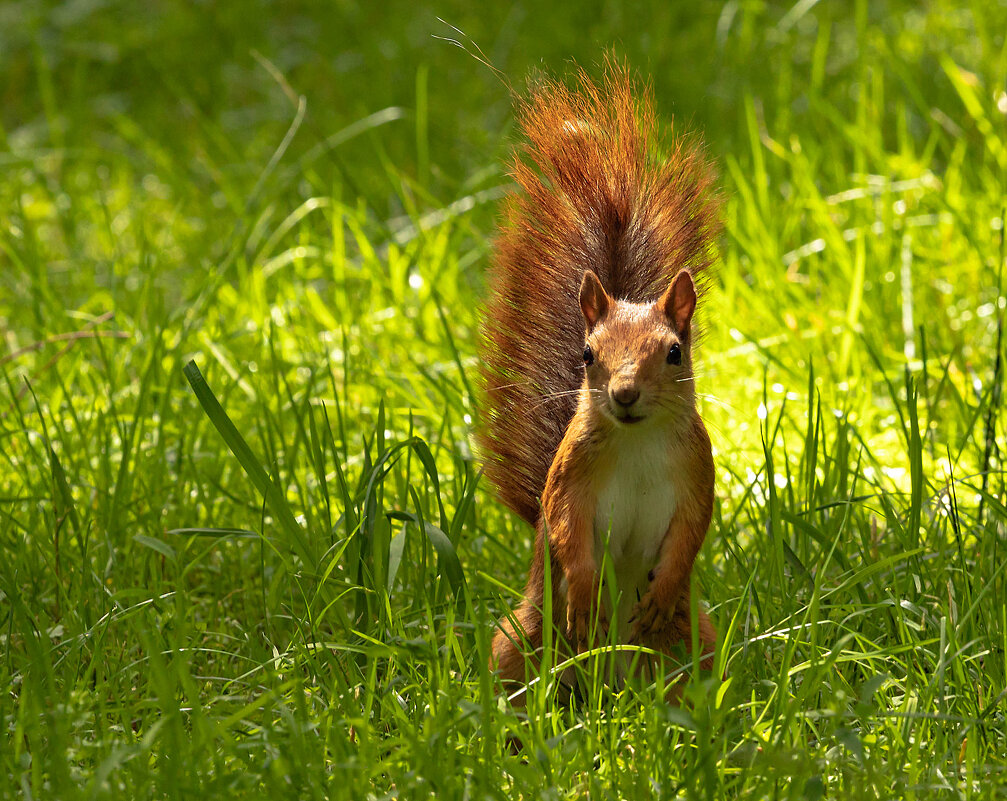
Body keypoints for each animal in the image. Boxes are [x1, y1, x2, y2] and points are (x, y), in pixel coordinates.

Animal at [475, 64, 721, 701]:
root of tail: (610, 689)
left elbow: (691, 531)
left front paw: (662, 587)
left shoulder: (697, 470)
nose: (624, 395)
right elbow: (565, 526)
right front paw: (585, 596)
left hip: (697, 641)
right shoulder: (570, 475)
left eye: (675, 352)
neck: (635, 441)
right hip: (520, 639)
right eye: (586, 355)